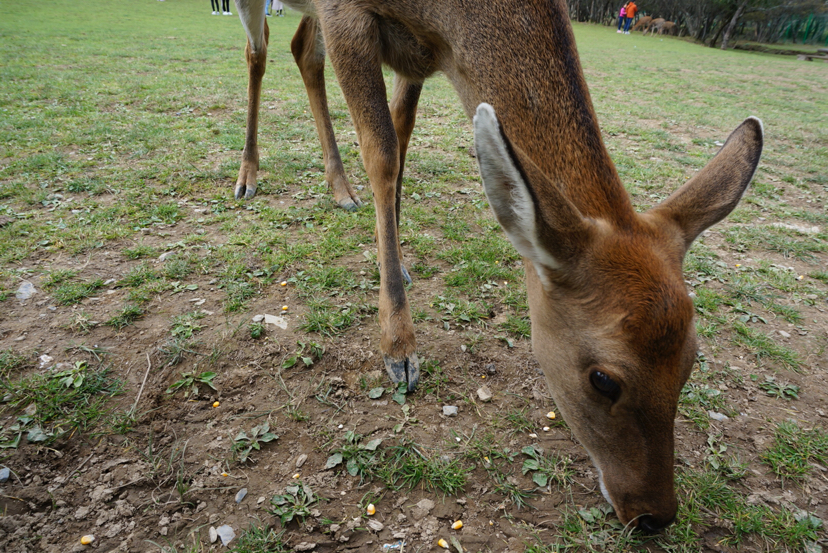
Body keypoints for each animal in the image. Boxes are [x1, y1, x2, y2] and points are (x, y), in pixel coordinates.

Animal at [230, 0, 763, 531]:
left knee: (302, 49)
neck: (447, 24)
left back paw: (339, 188)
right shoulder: (346, 16)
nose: (655, 514)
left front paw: (397, 261)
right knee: (259, 50)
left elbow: (402, 131)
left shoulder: (416, 58)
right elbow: (382, 153)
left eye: (691, 360)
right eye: (604, 379)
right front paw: (399, 348)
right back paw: (248, 177)